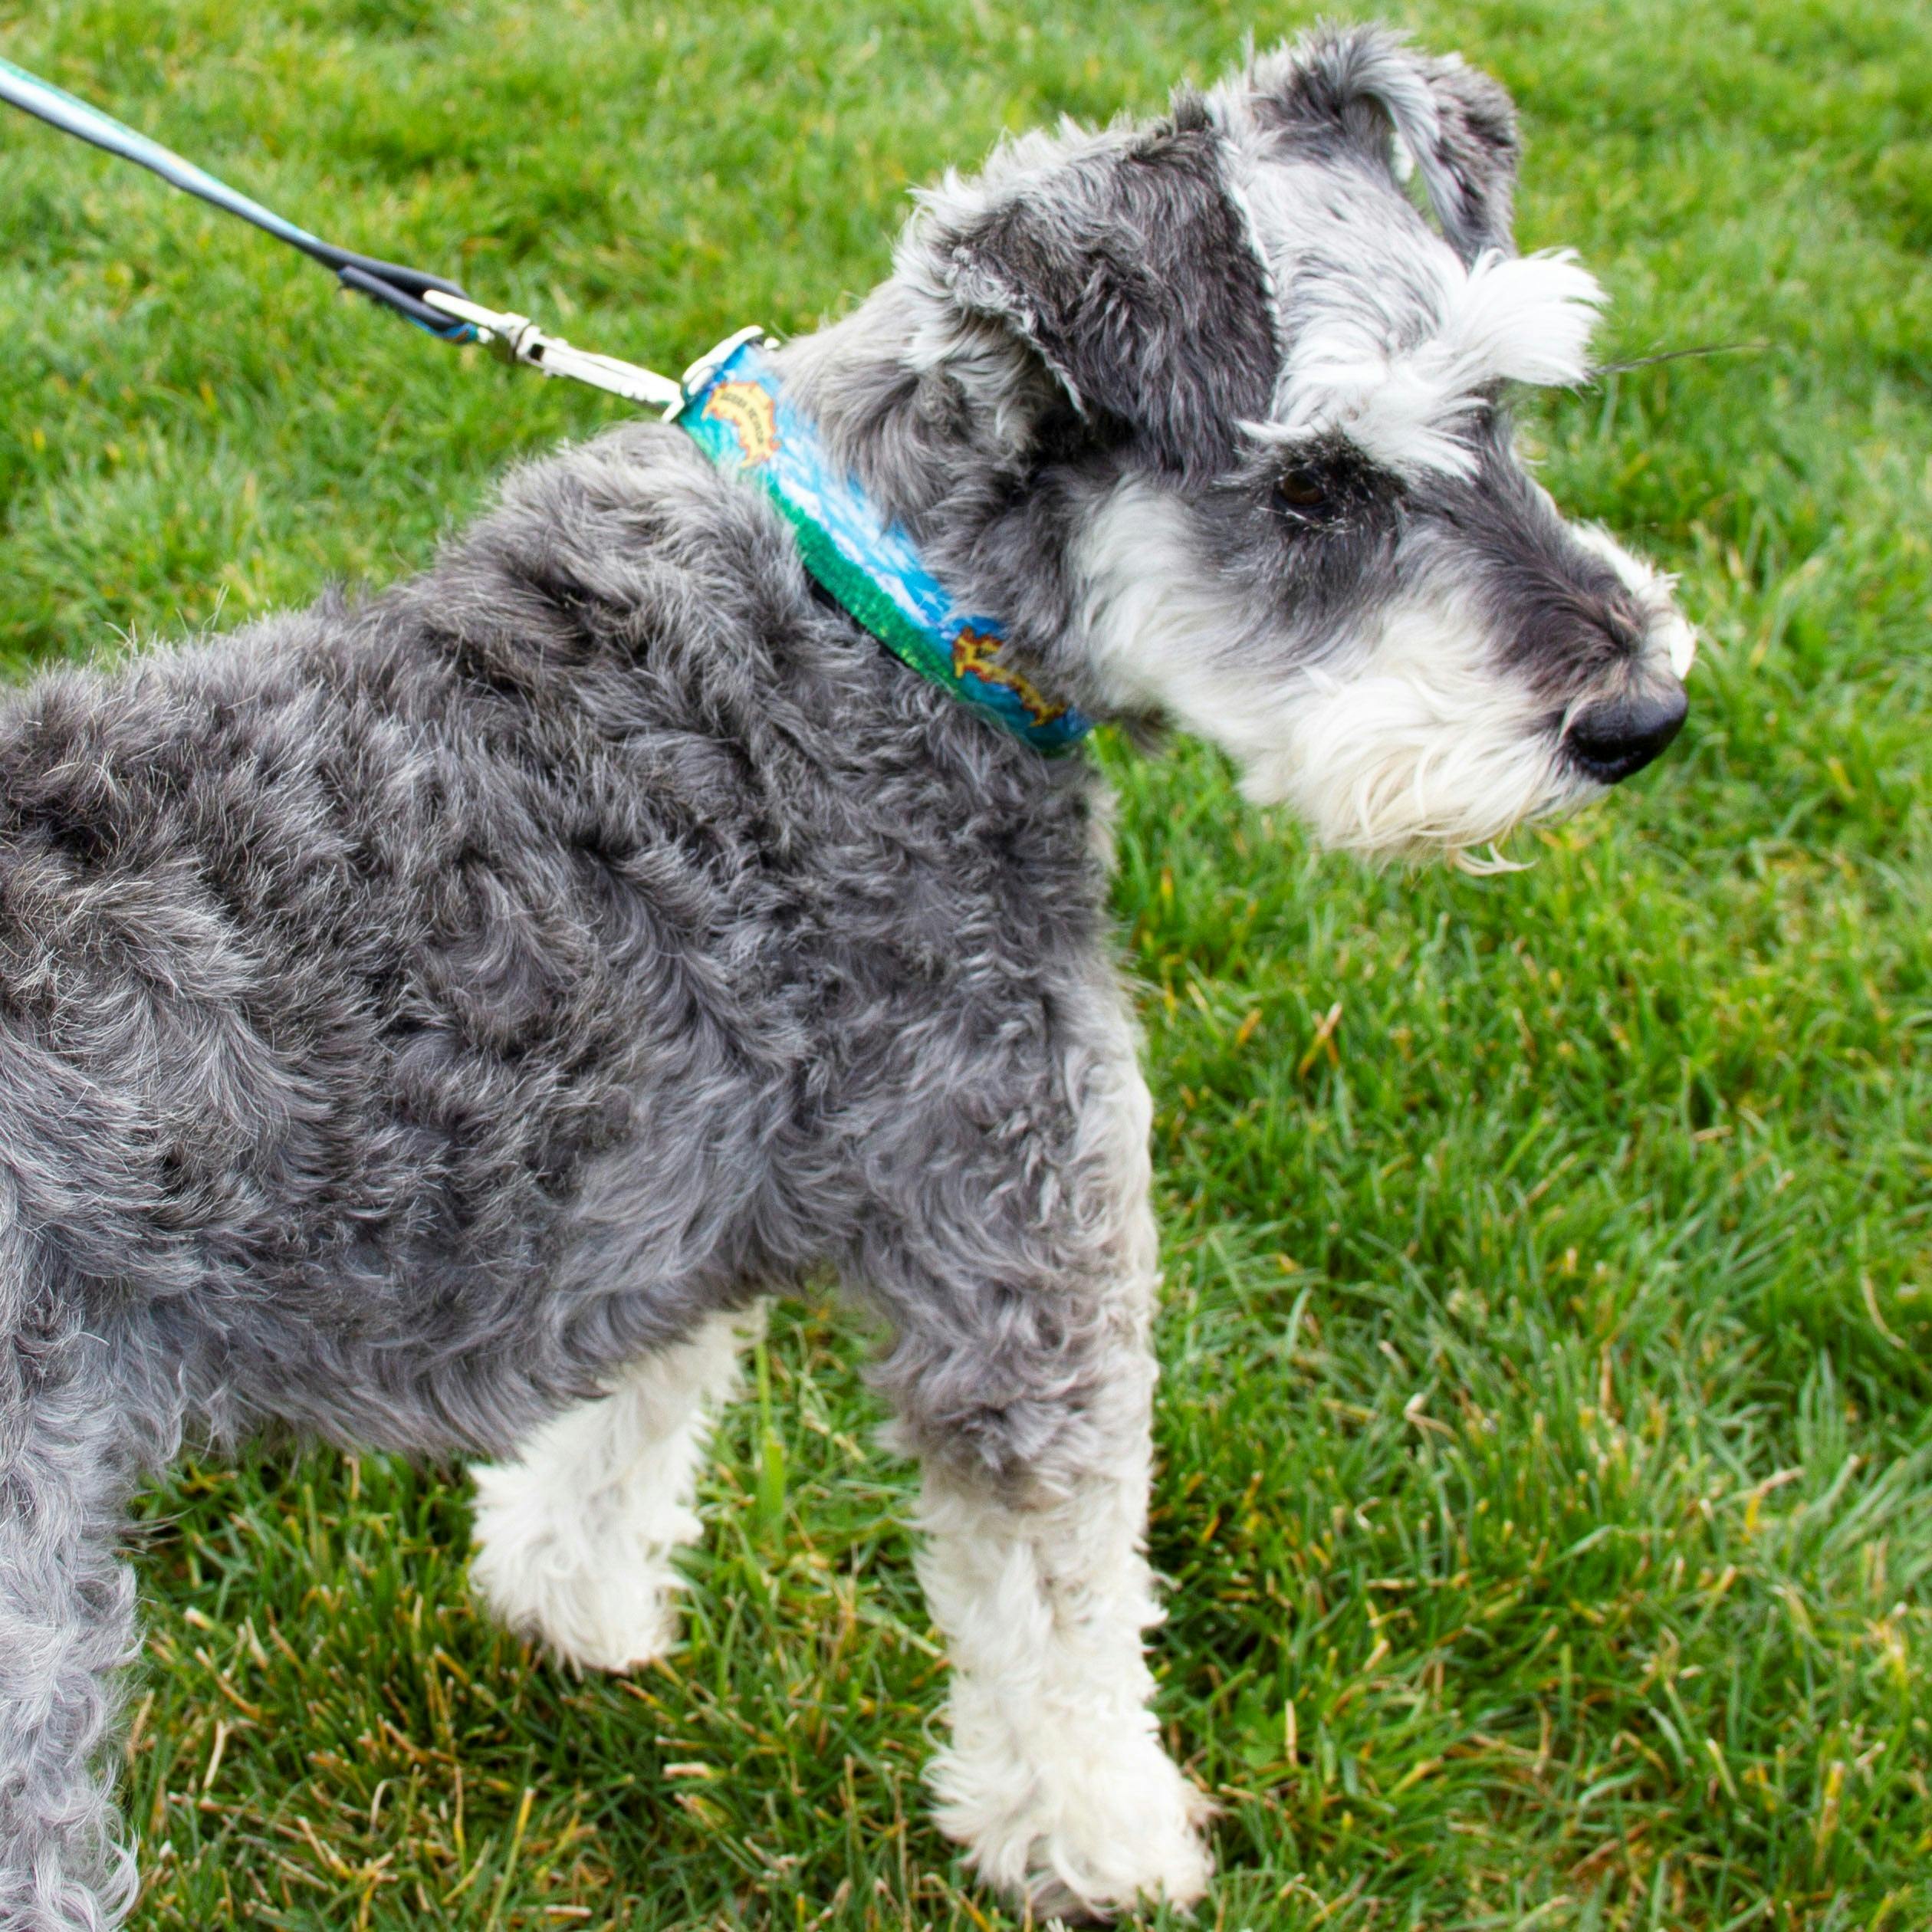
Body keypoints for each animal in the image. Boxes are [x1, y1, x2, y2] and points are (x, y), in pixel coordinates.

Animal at [0, 22, 1692, 1924]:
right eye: (1316, 479)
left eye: (1504, 407)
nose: (1639, 716)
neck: (885, 617)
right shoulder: (1029, 1249)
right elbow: (1065, 1596)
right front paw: (1107, 1841)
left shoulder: (667, 1203)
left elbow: (630, 1425)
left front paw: (563, 1601)